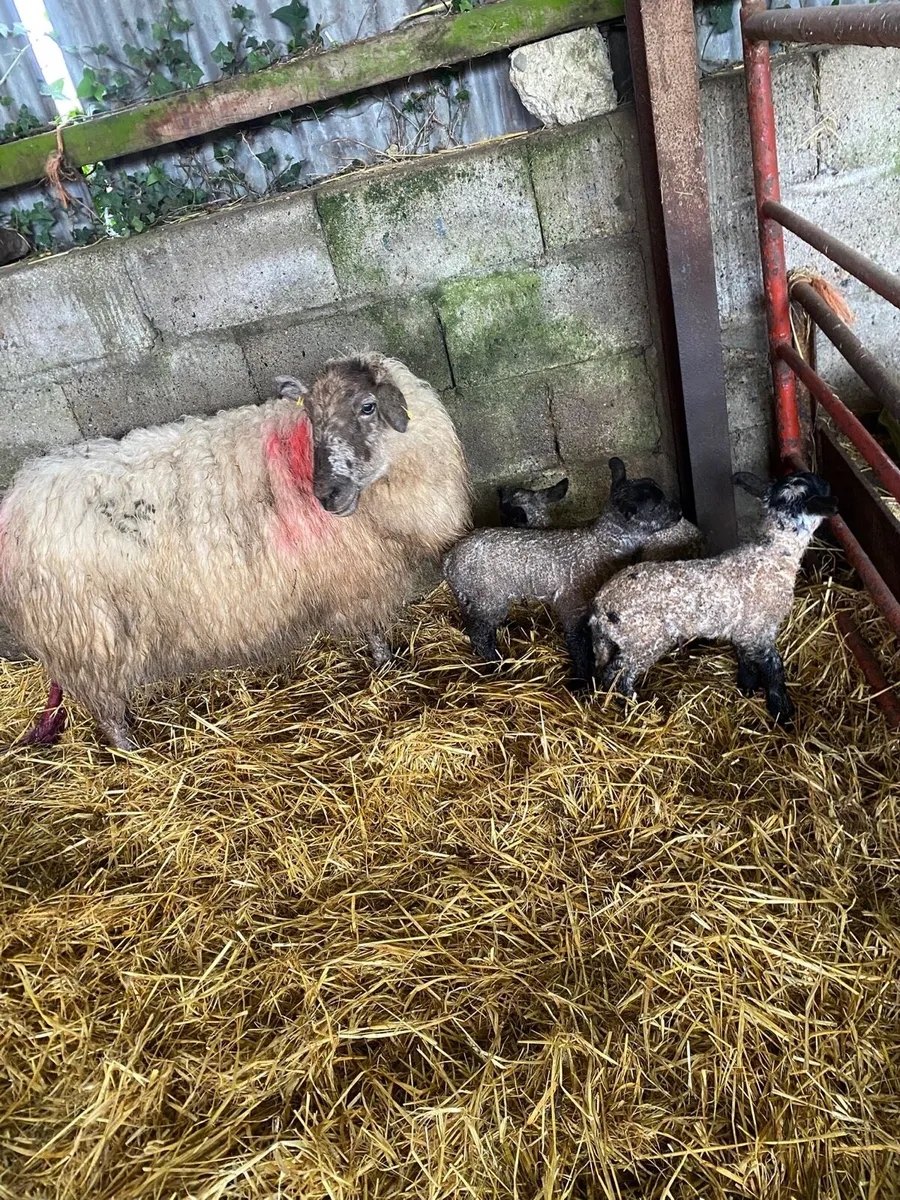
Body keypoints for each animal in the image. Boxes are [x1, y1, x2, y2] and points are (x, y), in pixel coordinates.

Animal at [0, 353, 470, 751]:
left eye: (367, 406)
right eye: (313, 418)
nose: (327, 496)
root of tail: (15, 504)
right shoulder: (359, 577)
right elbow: (373, 631)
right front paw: (387, 668)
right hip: (87, 639)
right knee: (106, 712)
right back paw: (134, 753)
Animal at [443, 457, 683, 687]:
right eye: (654, 506)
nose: (680, 512)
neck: (599, 545)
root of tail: (449, 560)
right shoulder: (572, 606)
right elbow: (578, 646)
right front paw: (581, 682)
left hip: (470, 597)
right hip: (488, 597)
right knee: (480, 635)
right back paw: (498, 665)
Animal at [589, 470, 838, 724]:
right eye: (818, 485)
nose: (829, 484)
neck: (771, 556)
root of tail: (600, 607)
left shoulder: (744, 629)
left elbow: (746, 659)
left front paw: (747, 687)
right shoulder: (762, 628)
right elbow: (774, 668)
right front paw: (782, 711)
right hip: (644, 639)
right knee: (618, 673)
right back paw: (635, 705)